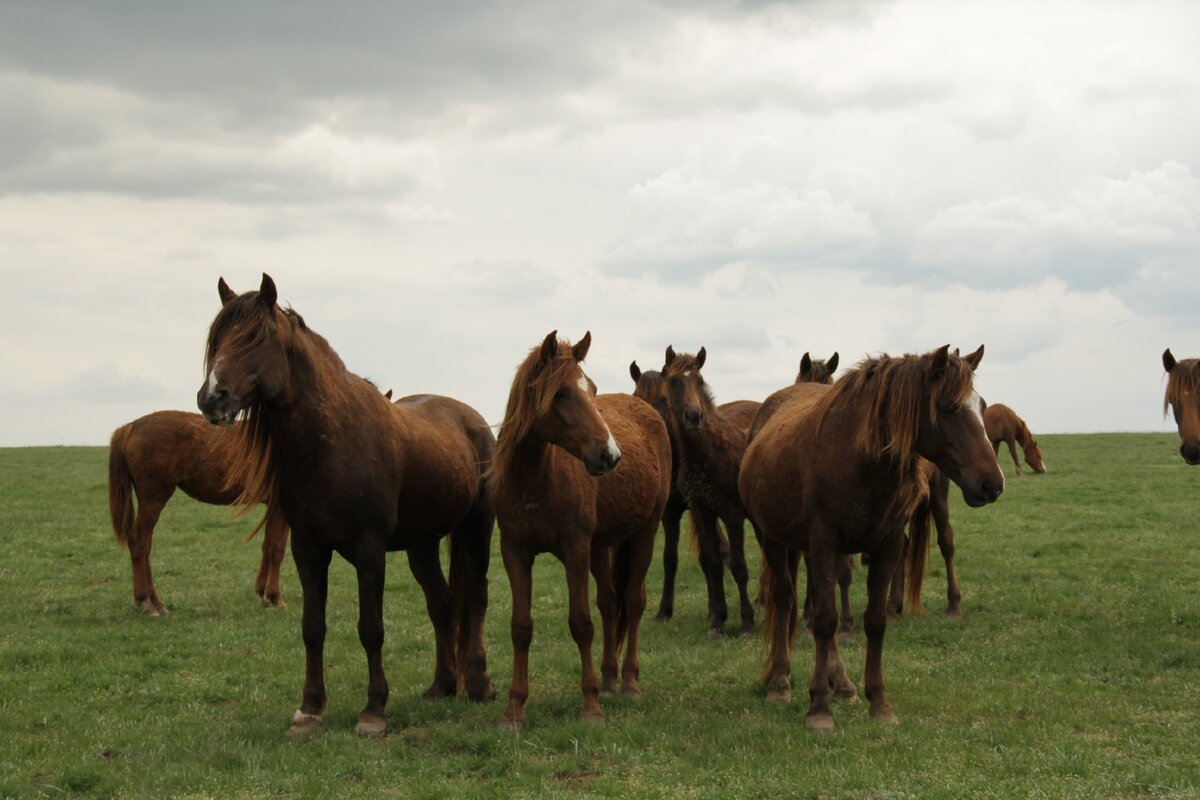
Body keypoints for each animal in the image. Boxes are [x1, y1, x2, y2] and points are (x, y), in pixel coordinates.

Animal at [108, 410, 290, 618]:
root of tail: (131, 427)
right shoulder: (280, 507)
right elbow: (277, 549)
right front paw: (275, 597)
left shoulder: (273, 507)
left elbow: (267, 546)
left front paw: (264, 594)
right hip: (153, 499)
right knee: (139, 543)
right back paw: (146, 602)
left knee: (145, 545)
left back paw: (157, 602)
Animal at [194, 277, 494, 738]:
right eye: (219, 339)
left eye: (258, 338)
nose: (212, 398)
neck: (330, 441)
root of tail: (472, 419)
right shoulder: (307, 548)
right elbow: (312, 628)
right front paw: (309, 708)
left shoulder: (369, 550)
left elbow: (371, 629)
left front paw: (373, 711)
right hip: (422, 544)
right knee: (442, 604)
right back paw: (441, 686)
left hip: (477, 529)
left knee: (475, 599)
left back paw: (478, 684)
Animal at [492, 331, 672, 734]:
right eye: (561, 393)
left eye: (591, 388)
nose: (610, 455)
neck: (536, 480)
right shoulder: (515, 552)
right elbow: (520, 627)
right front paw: (514, 709)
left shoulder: (575, 550)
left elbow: (581, 623)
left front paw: (590, 706)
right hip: (601, 548)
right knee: (610, 603)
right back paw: (608, 679)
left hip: (646, 531)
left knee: (632, 602)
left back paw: (628, 683)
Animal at [628, 357, 758, 623]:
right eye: (636, 397)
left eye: (663, 399)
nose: (648, 430)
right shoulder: (670, 512)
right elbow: (670, 559)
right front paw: (664, 611)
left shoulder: (698, 509)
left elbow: (708, 559)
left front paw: (713, 611)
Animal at [739, 345, 1003, 734]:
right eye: (948, 407)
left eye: (982, 405)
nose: (993, 484)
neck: (860, 461)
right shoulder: (823, 543)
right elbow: (825, 620)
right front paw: (819, 708)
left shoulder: (886, 546)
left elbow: (874, 622)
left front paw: (878, 702)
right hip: (771, 537)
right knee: (786, 601)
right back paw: (781, 681)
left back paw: (841, 682)